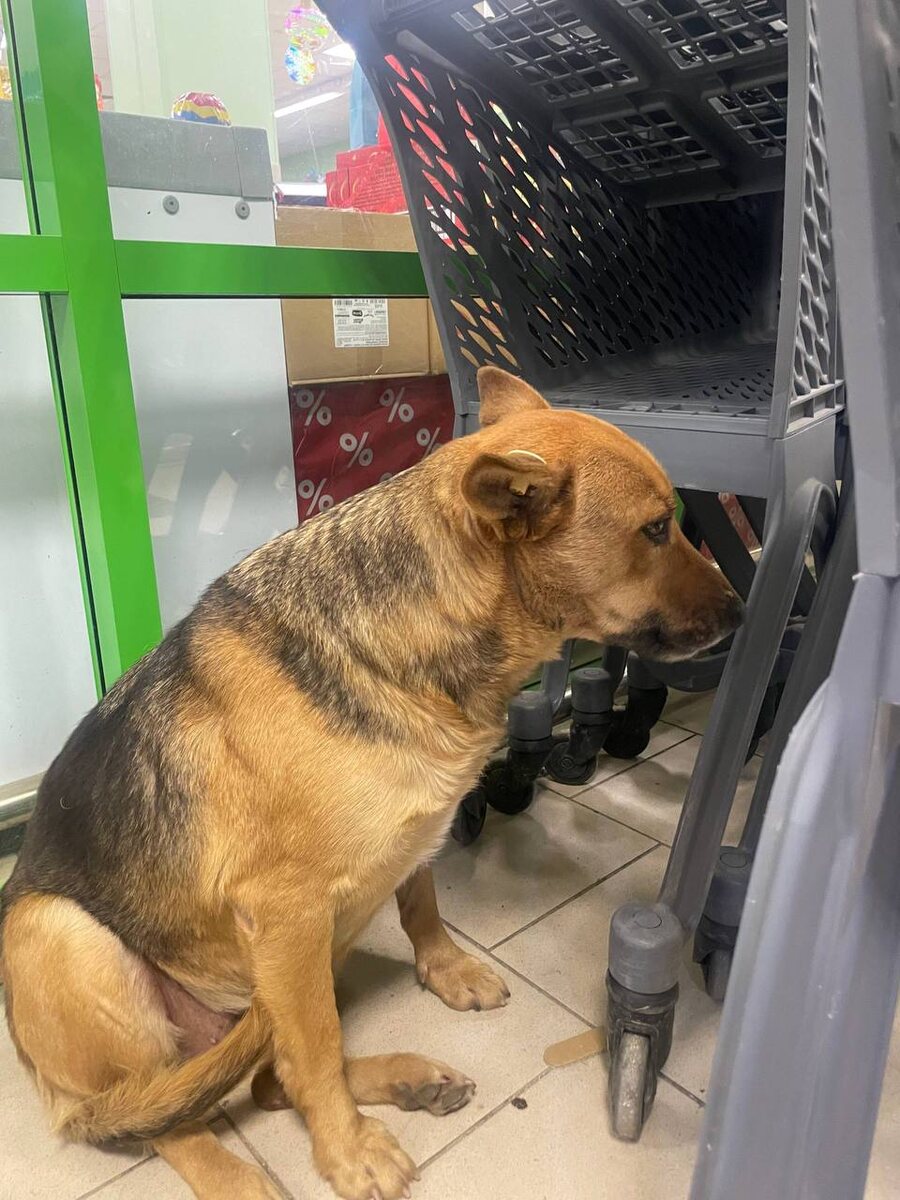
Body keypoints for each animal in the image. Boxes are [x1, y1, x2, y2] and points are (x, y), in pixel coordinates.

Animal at [1, 366, 741, 1200]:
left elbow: (422, 908)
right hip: (61, 935)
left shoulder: (410, 840)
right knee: (173, 1115)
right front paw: (346, 1151)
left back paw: (407, 1080)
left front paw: (444, 970)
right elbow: (316, 1048)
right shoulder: (285, 910)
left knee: (269, 1078)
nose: (743, 608)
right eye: (656, 529)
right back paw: (237, 1173)